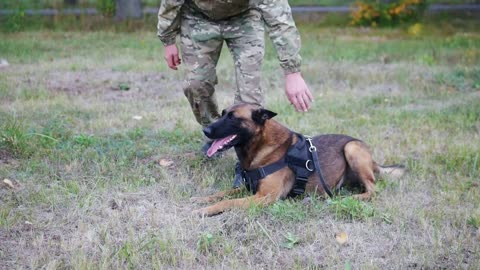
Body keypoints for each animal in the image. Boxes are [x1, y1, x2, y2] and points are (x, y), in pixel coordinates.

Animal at [189, 102, 404, 216]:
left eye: (233, 117)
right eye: (223, 114)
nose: (205, 130)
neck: (261, 144)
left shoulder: (264, 197)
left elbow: (228, 202)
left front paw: (205, 210)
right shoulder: (250, 189)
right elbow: (224, 193)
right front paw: (202, 199)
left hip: (352, 149)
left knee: (373, 190)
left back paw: (348, 198)